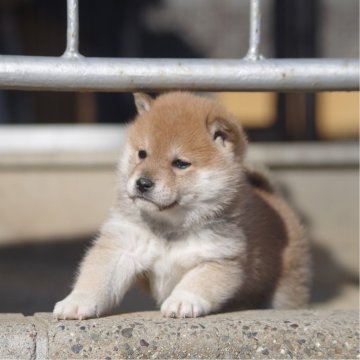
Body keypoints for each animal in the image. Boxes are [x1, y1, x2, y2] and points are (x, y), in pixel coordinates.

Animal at [53, 91, 310, 320]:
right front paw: (77, 302)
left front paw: (182, 301)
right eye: (142, 153)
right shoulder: (121, 246)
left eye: (180, 164)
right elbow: (97, 278)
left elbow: (196, 283)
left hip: (285, 288)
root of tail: (273, 196)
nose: (143, 183)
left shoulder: (219, 258)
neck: (170, 228)